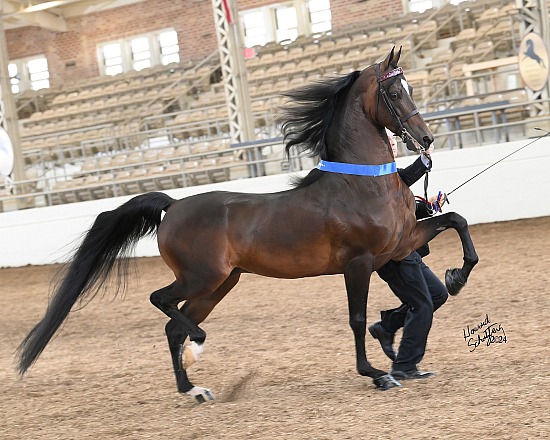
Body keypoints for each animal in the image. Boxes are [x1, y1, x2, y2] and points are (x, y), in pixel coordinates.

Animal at [18, 48, 478, 402]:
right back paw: (199, 347)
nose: (427, 140)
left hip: (221, 283)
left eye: (411, 88)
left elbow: (456, 222)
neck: (362, 183)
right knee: (161, 303)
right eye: (396, 92)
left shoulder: (401, 245)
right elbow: (357, 318)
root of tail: (173, 206)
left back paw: (193, 389)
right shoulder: (360, 263)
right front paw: (377, 374)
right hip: (202, 278)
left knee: (172, 326)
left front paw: (455, 278)